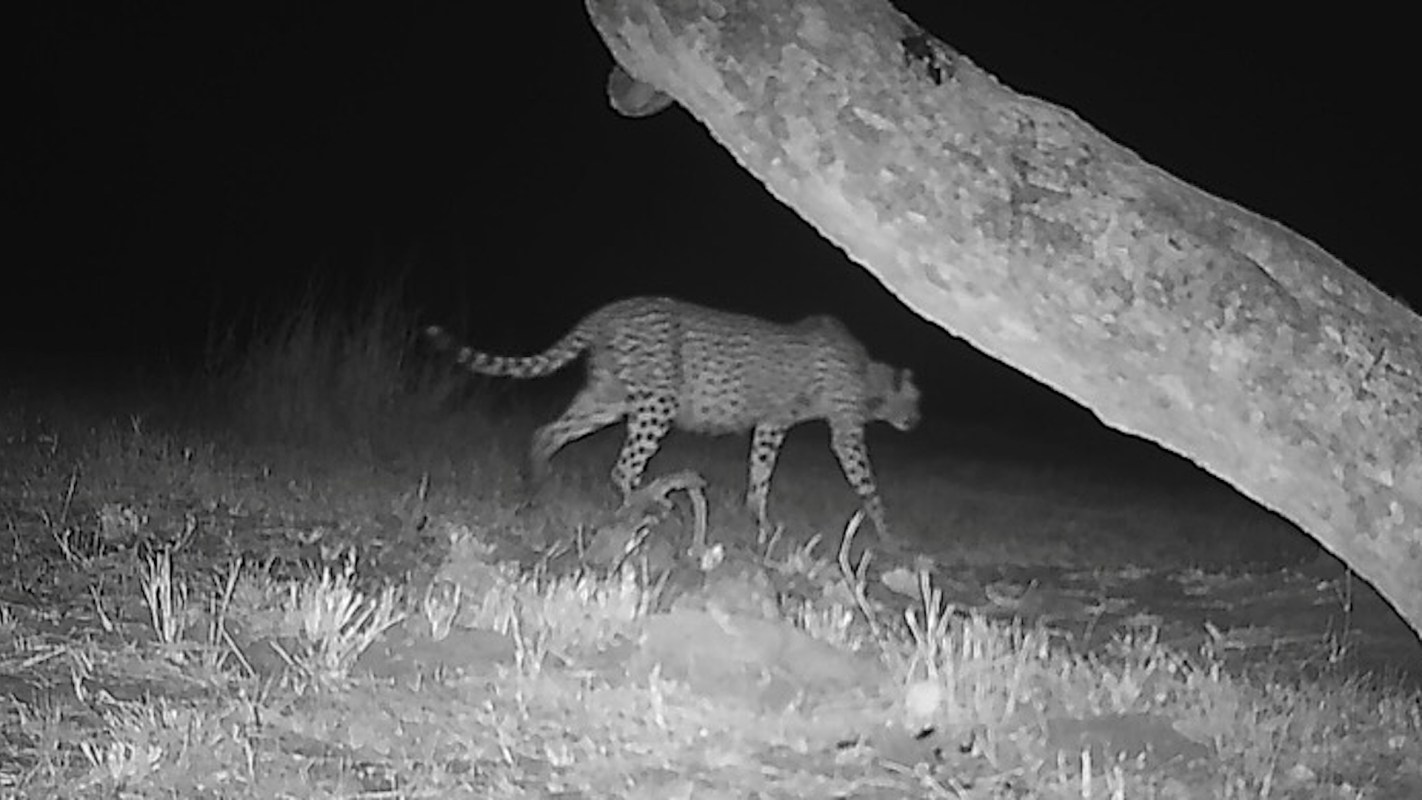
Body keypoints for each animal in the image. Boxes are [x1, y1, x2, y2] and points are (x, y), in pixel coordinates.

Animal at [424, 296, 920, 542]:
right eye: (917, 401)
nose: (917, 421)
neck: (870, 373)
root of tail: (613, 307)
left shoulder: (771, 424)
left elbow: (760, 474)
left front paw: (757, 521)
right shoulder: (844, 432)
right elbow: (867, 484)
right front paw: (889, 536)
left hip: (610, 398)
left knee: (549, 431)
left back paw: (538, 486)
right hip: (655, 403)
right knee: (622, 466)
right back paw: (646, 504)